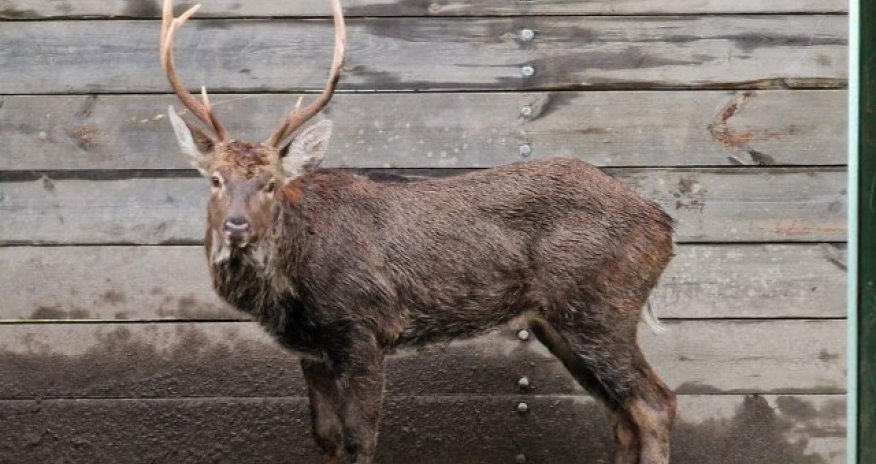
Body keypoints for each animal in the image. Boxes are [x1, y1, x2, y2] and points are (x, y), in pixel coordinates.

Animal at [160, 0, 677, 462]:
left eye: (270, 183)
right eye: (216, 179)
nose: (237, 226)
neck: (293, 285)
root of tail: (664, 224)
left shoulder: (364, 328)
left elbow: (360, 440)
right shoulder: (312, 351)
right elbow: (326, 439)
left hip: (602, 308)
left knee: (655, 405)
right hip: (560, 321)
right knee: (620, 414)